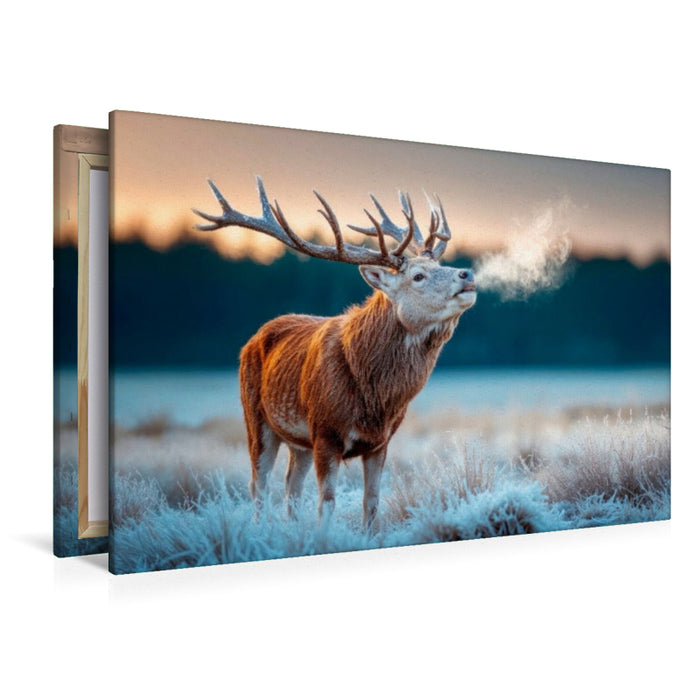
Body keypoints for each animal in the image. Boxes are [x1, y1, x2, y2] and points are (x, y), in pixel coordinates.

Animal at [193, 176, 476, 532]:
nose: (467, 274)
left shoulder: (380, 441)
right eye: (418, 276)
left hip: (299, 440)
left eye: (438, 265)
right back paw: (259, 529)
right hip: (255, 417)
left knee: (291, 484)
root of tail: (252, 339)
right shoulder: (326, 431)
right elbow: (326, 502)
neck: (375, 400)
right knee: (258, 482)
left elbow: (372, 502)